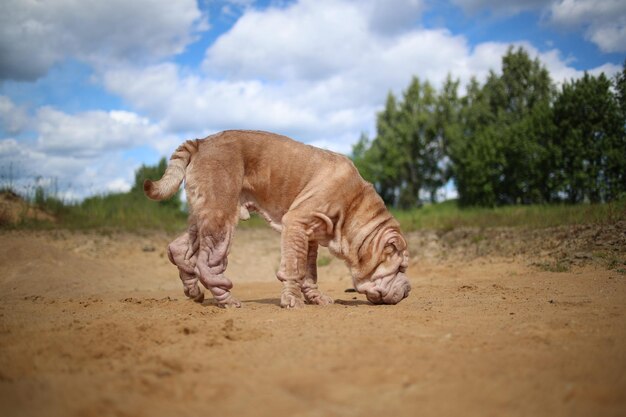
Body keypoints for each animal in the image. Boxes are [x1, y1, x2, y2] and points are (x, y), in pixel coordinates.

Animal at [145, 130, 410, 308]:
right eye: (401, 267)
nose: (408, 290)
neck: (354, 204)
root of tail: (201, 142)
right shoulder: (296, 222)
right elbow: (294, 267)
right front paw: (292, 300)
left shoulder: (310, 236)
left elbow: (309, 271)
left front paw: (316, 298)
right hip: (221, 215)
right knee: (208, 264)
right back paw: (227, 299)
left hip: (204, 214)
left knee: (179, 248)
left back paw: (192, 290)